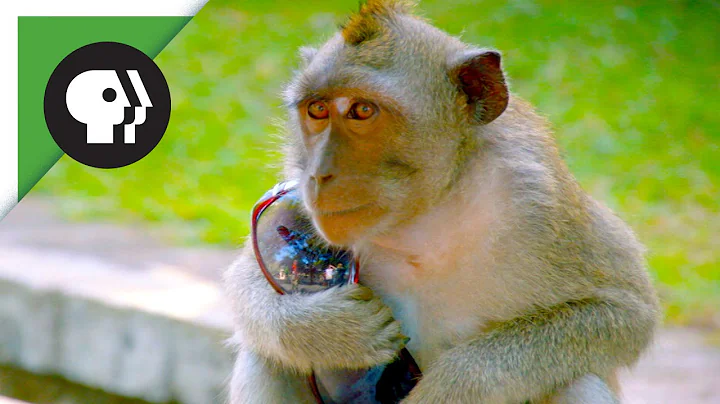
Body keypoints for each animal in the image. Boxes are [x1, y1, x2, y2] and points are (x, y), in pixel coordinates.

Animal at [224, 1, 660, 403]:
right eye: (317, 109)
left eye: (362, 110)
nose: (318, 174)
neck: (425, 213)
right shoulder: (289, 199)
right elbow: (248, 277)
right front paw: (331, 331)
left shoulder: (539, 199)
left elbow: (623, 309)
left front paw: (451, 387)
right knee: (266, 357)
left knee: (577, 381)